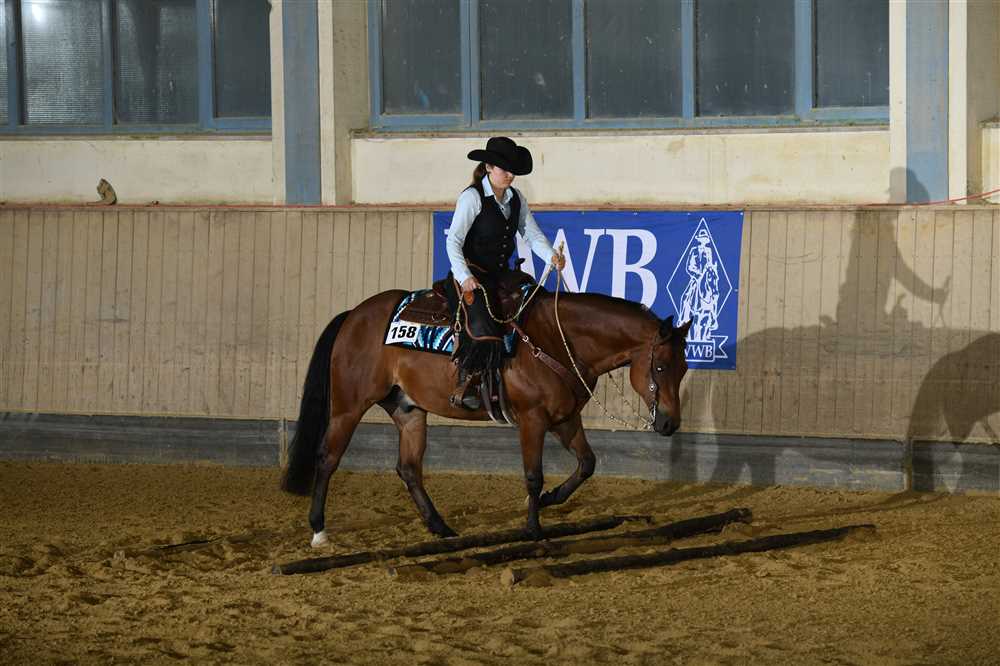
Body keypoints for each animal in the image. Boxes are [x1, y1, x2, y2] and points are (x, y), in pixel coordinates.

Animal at [280, 281, 692, 547]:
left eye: (684, 367)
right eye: (660, 367)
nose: (669, 423)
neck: (556, 340)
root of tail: (354, 315)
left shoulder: (565, 419)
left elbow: (587, 464)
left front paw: (550, 500)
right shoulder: (533, 420)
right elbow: (532, 475)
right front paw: (533, 530)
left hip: (409, 410)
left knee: (409, 468)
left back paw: (441, 528)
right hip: (348, 406)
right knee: (327, 458)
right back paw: (319, 530)